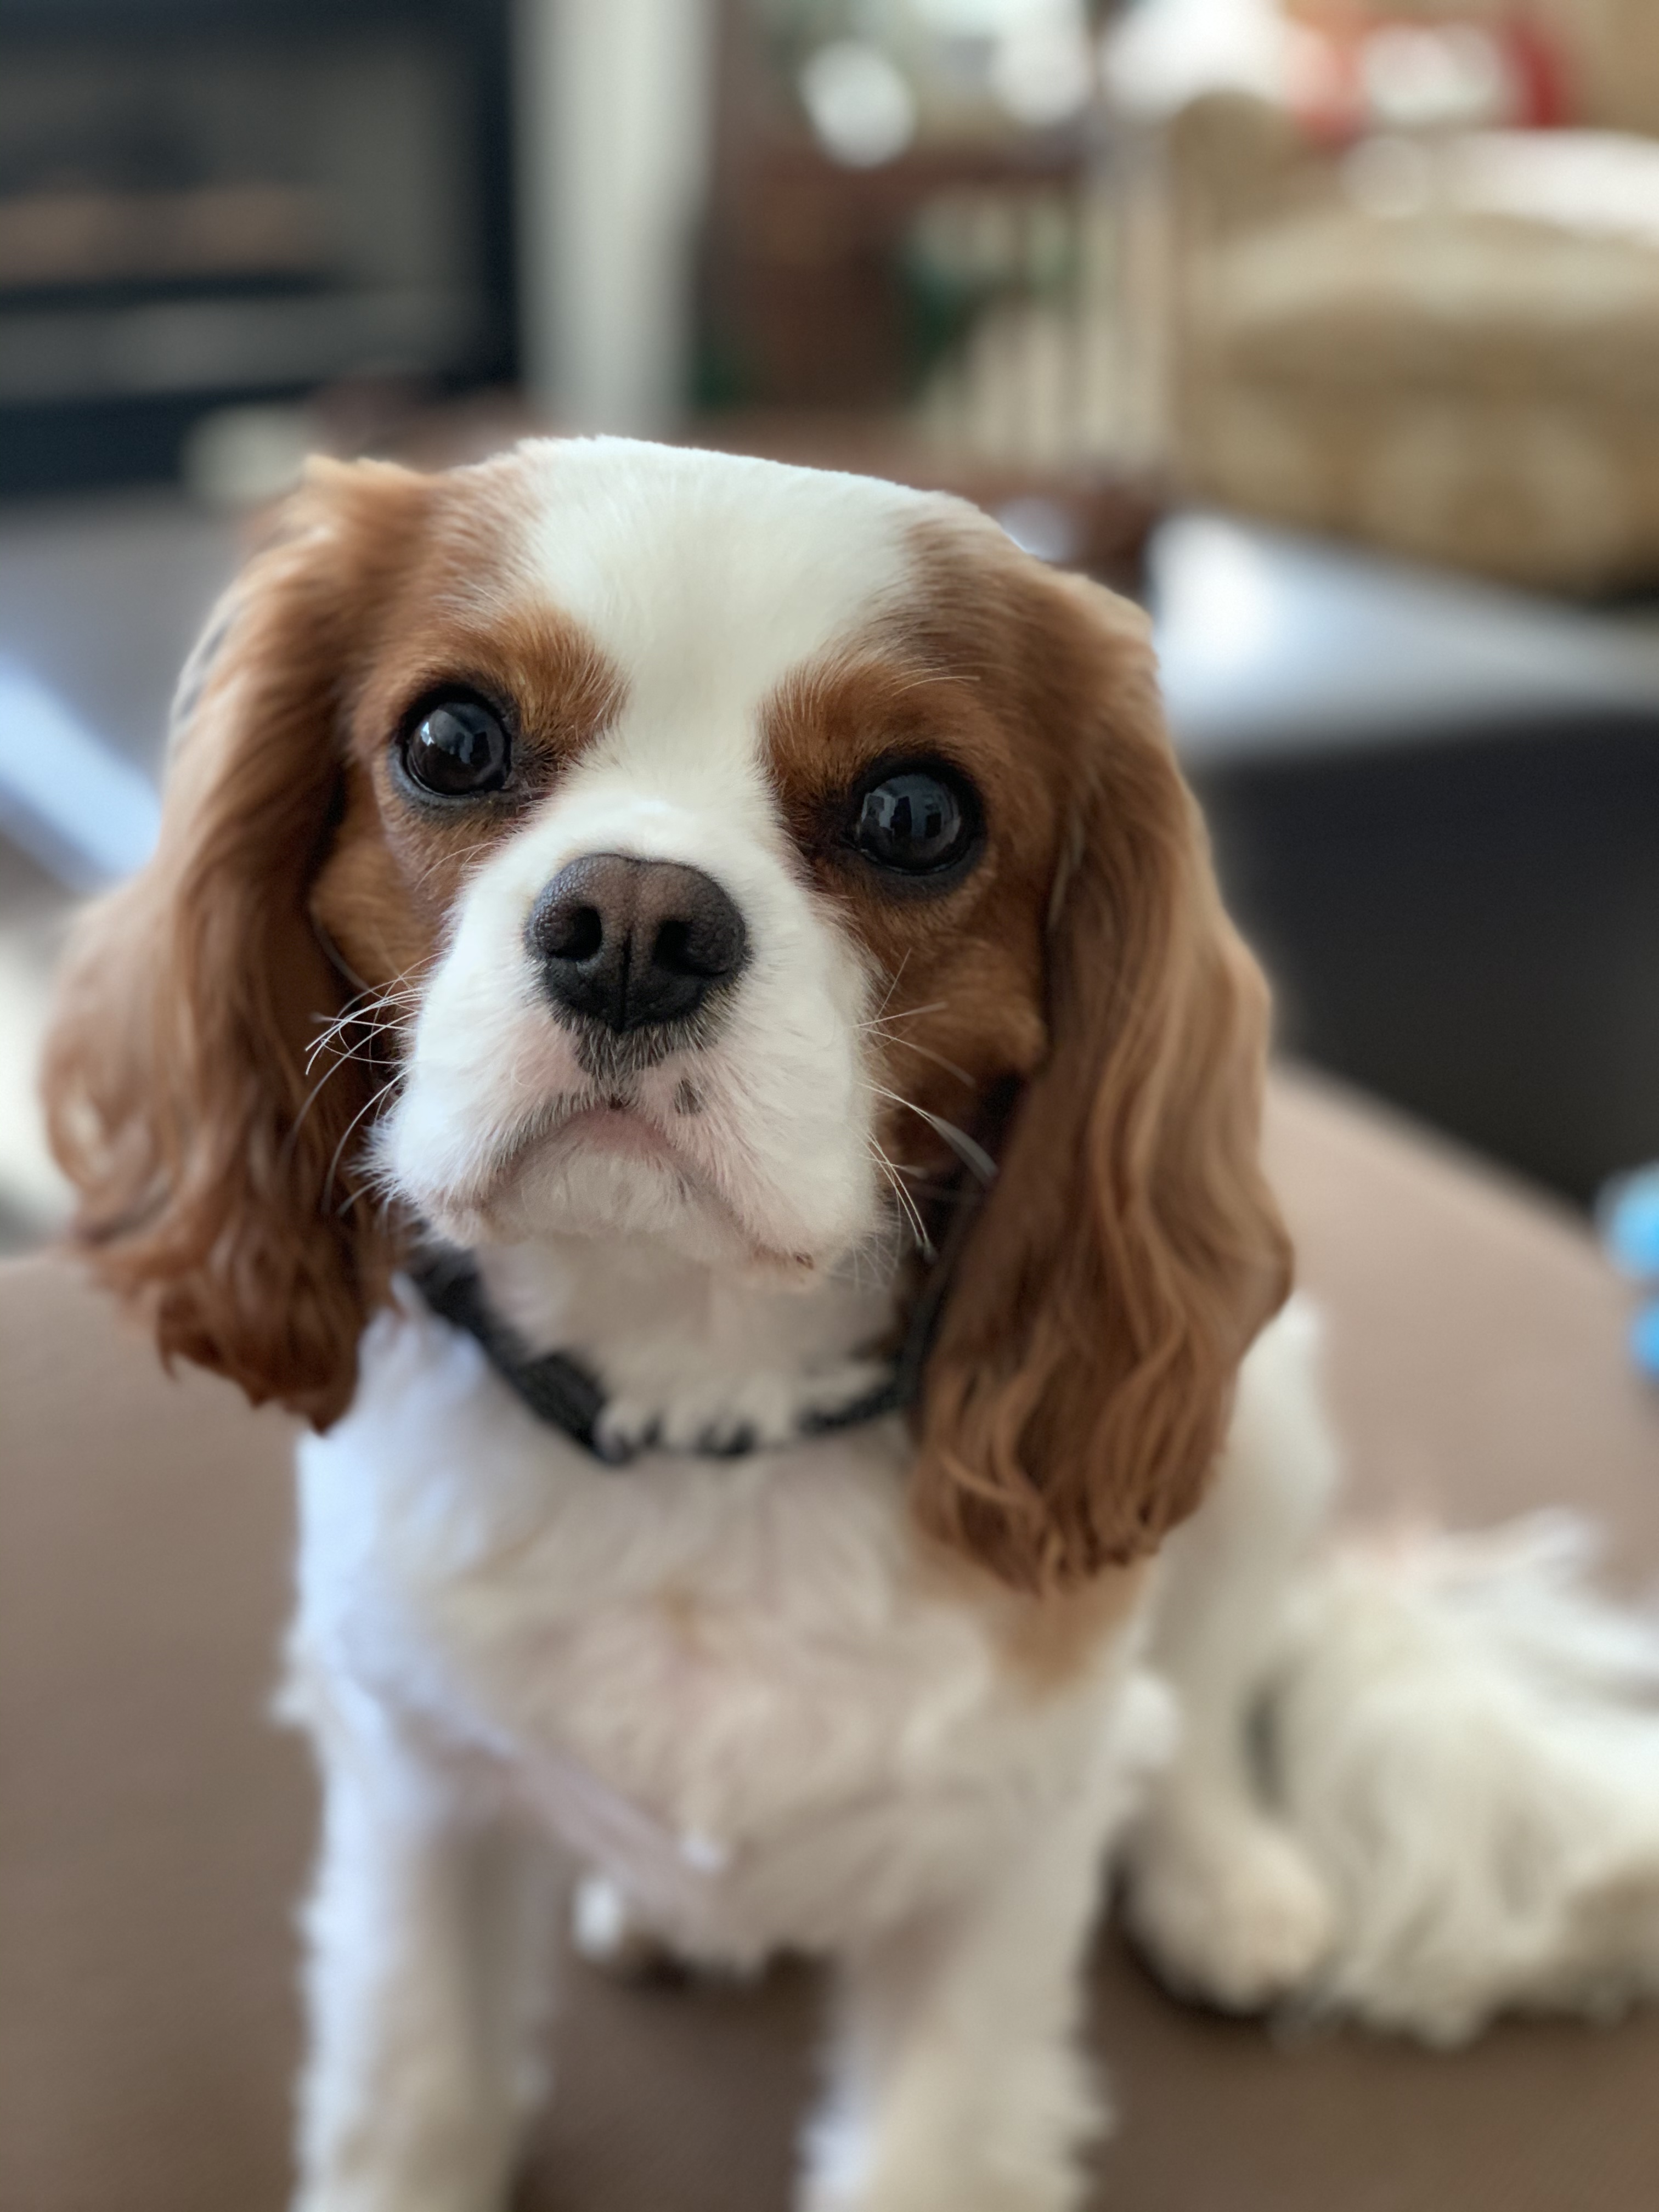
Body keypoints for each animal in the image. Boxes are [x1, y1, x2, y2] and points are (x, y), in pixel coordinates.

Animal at [43, 439, 1659, 2212]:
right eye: (451, 740)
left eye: (913, 815)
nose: (632, 921)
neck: (701, 1406)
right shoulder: (418, 1790)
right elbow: (417, 2101)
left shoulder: (1000, 1858)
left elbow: (936, 2139)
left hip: (1267, 1435)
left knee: (1203, 1697)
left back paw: (1225, 1877)